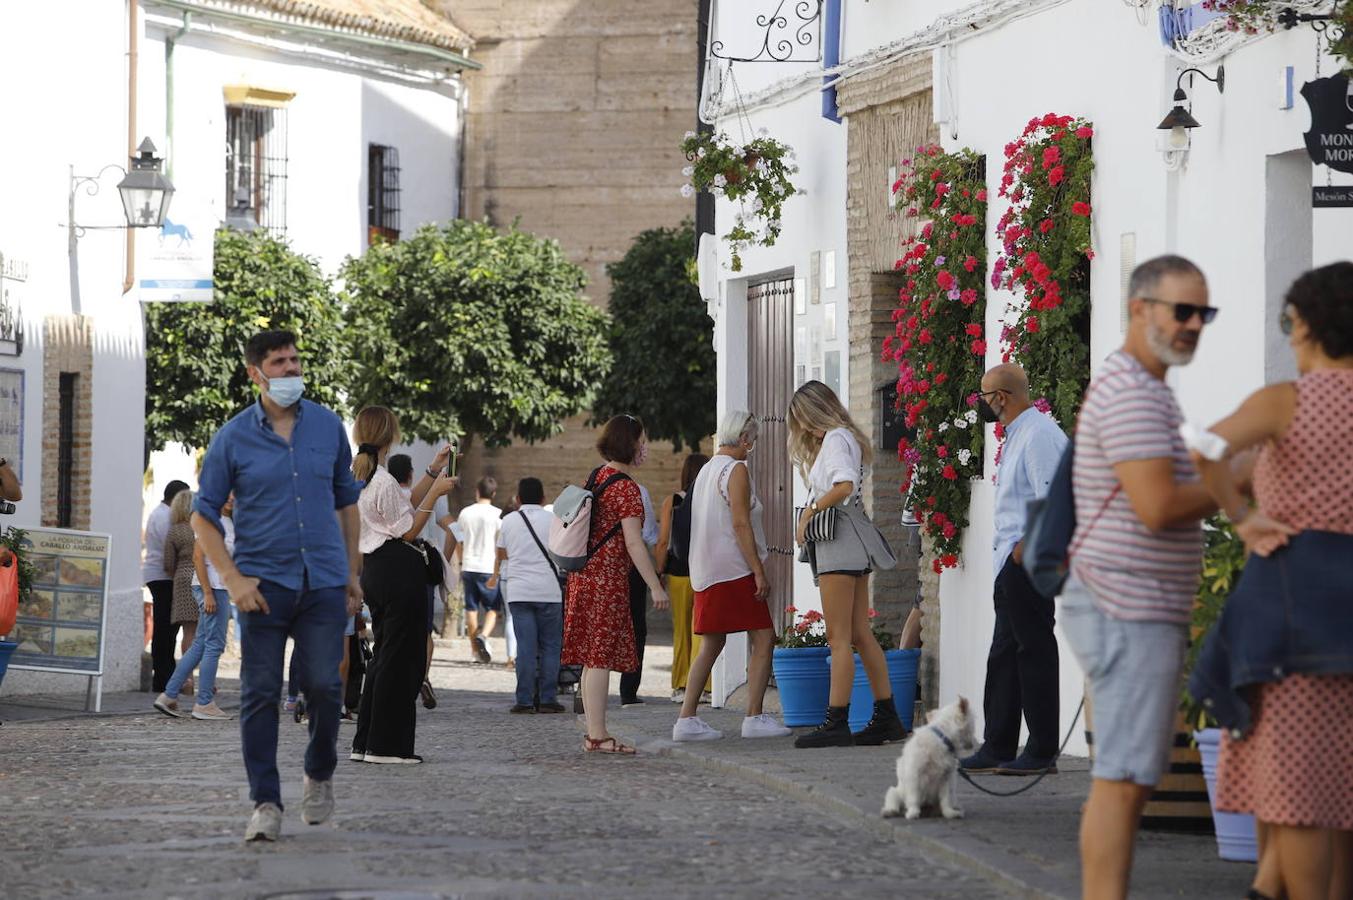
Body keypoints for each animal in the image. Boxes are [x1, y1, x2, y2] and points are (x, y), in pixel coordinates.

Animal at [882, 692, 979, 822]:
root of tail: (927, 810)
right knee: (894, 802)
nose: (973, 745)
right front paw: (913, 813)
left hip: (950, 797)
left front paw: (949, 813)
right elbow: (913, 797)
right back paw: (890, 811)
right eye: (973, 725)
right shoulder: (914, 776)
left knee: (949, 802)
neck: (942, 738)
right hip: (895, 792)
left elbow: (946, 799)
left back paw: (955, 810)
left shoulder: (946, 779)